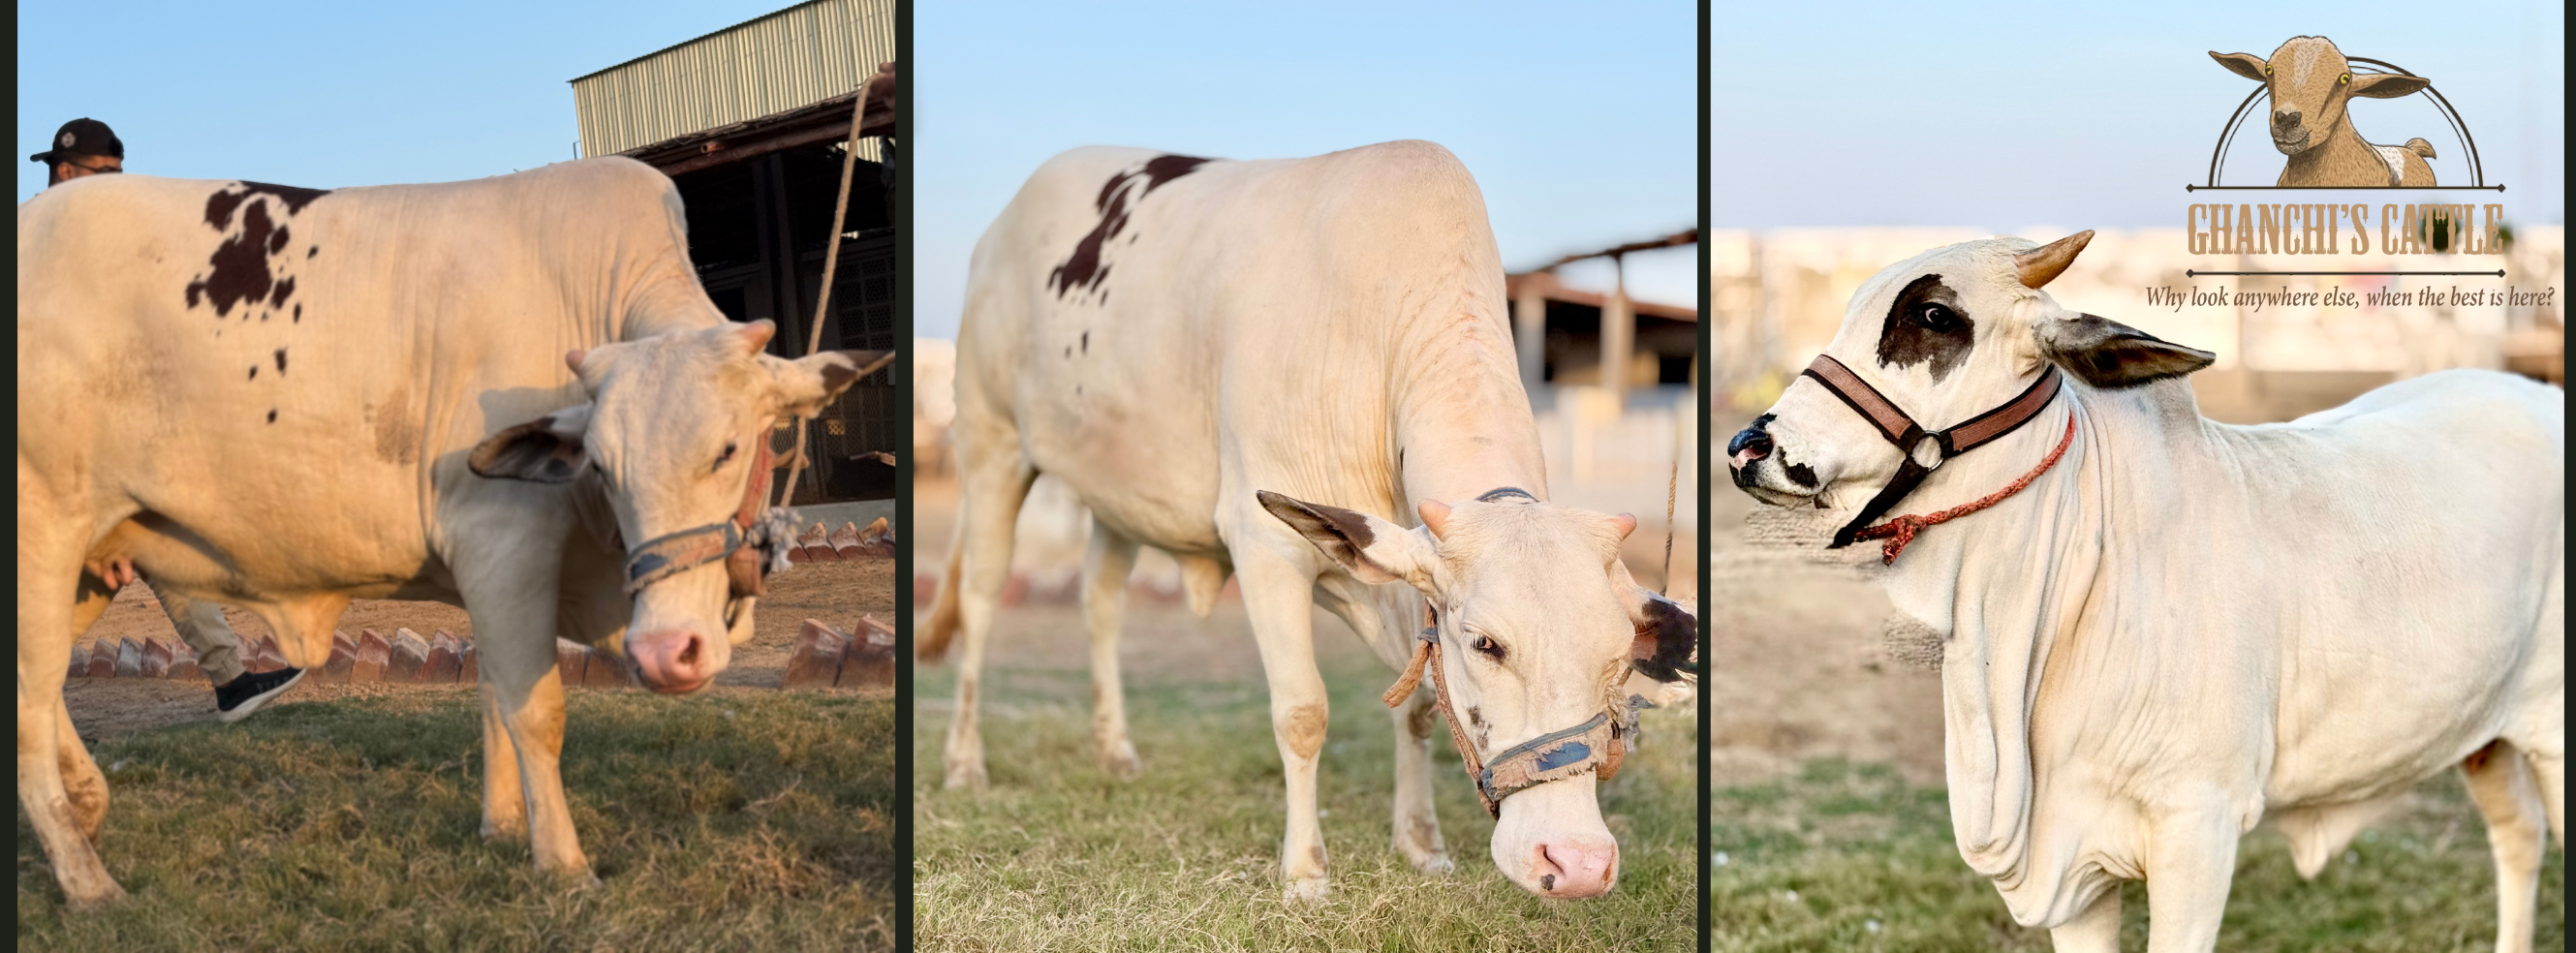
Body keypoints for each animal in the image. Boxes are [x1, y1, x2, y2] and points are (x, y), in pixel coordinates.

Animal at [18, 158, 883, 908]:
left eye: (732, 448)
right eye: (601, 466)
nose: (665, 651)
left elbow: (493, 694)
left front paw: (501, 828)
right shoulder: (503, 545)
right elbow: (534, 709)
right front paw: (561, 863)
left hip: (93, 559)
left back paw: (89, 805)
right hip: (41, 537)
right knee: (29, 701)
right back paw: (87, 882)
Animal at [917, 141, 1697, 901]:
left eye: (1618, 657)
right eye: (1487, 644)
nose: (1578, 862)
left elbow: (1418, 707)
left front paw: (1421, 844)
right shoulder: (1266, 544)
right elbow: (1302, 712)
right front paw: (1304, 871)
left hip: (1116, 499)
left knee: (1101, 603)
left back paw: (1114, 749)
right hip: (990, 446)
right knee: (980, 601)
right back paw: (964, 762)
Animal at [1726, 231, 2562, 952]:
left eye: (1934, 316)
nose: (1747, 447)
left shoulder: (2198, 828)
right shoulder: (2075, 870)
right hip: (2483, 733)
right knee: (2517, 834)